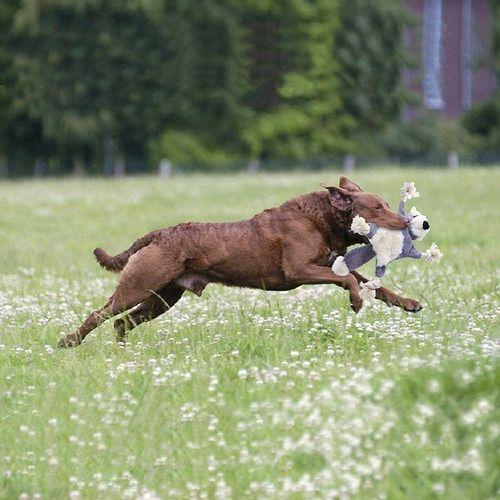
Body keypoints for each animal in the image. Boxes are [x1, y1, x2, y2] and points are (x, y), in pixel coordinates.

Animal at [56, 177, 420, 348]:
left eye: (387, 205)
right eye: (376, 208)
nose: (407, 222)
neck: (323, 219)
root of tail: (158, 234)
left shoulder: (330, 264)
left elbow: (374, 285)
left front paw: (408, 303)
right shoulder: (300, 270)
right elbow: (350, 282)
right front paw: (356, 302)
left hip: (164, 297)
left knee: (122, 322)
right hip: (141, 284)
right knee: (101, 313)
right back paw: (69, 341)